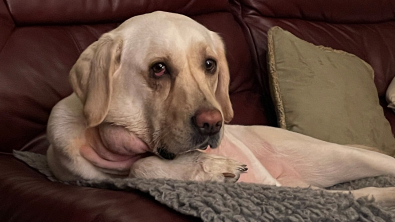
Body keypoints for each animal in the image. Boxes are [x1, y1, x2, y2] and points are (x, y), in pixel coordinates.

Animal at [48, 11, 395, 206]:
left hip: (337, 155)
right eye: (158, 68)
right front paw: (208, 168)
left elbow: (140, 166)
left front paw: (208, 165)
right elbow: (138, 168)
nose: (213, 123)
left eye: (209, 64)